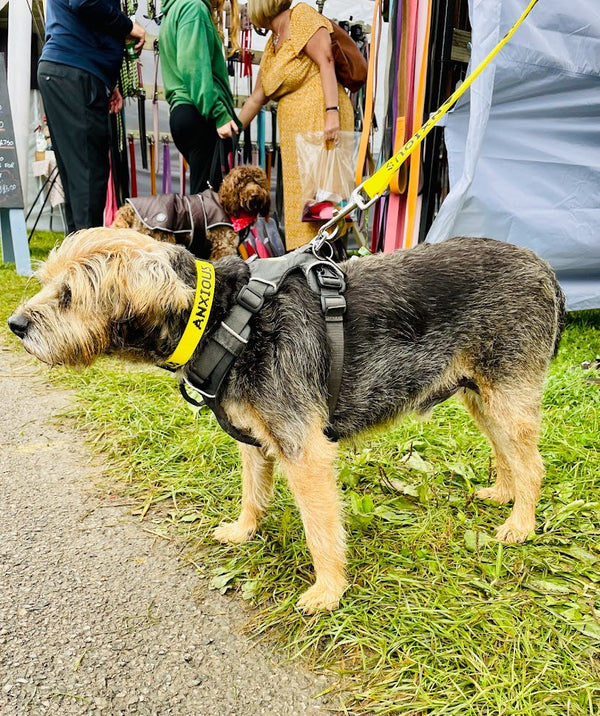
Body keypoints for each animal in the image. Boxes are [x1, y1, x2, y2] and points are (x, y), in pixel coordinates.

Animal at [7, 228, 564, 608]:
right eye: (47, 283)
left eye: (69, 296)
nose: (14, 324)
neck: (221, 318)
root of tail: (545, 268)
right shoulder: (255, 441)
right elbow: (252, 492)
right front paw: (244, 531)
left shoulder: (305, 450)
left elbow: (321, 529)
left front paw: (329, 591)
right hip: (482, 396)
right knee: (509, 455)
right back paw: (503, 495)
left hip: (506, 397)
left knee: (533, 465)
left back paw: (520, 525)